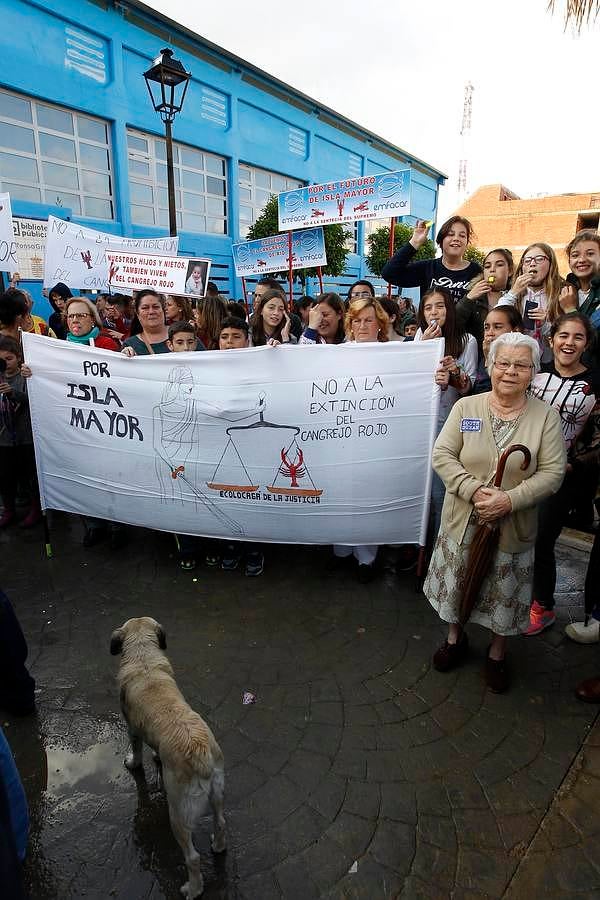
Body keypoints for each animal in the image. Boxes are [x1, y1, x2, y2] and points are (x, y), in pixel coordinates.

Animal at [110, 620, 225, 900]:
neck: (144, 662)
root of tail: (200, 753)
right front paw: (155, 757)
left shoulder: (132, 729)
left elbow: (137, 751)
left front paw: (134, 763)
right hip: (217, 792)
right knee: (221, 821)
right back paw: (218, 846)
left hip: (178, 814)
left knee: (192, 857)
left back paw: (193, 888)